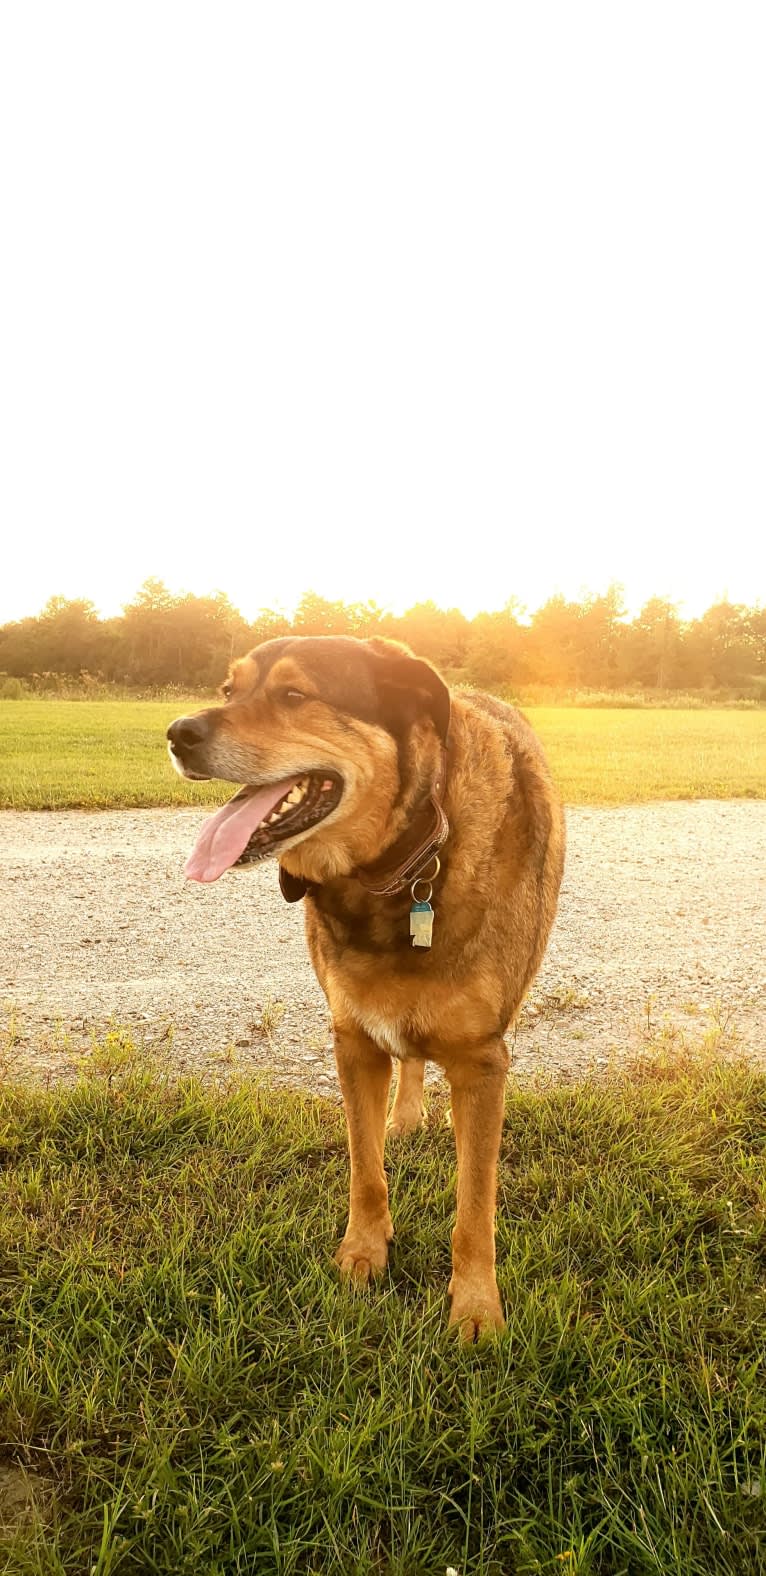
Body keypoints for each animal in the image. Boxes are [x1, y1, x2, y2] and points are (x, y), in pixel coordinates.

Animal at [166, 633, 561, 1336]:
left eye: (294, 693)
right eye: (228, 690)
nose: (177, 733)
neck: (402, 865)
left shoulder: (482, 1061)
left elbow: (474, 1206)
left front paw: (476, 1307)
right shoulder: (353, 1039)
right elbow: (365, 1168)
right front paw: (363, 1254)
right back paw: (405, 1115)